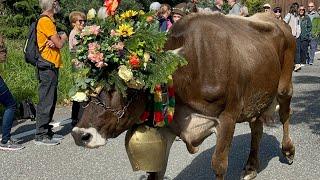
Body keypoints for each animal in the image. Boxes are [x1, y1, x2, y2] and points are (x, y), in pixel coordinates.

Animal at [71, 13, 296, 180]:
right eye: (88, 87)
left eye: (125, 85)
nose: (79, 134)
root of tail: (274, 18)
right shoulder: (169, 126)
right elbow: (156, 171)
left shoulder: (228, 117)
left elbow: (219, 164)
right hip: (256, 97)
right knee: (256, 127)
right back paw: (250, 167)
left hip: (284, 86)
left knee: (285, 114)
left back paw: (288, 151)